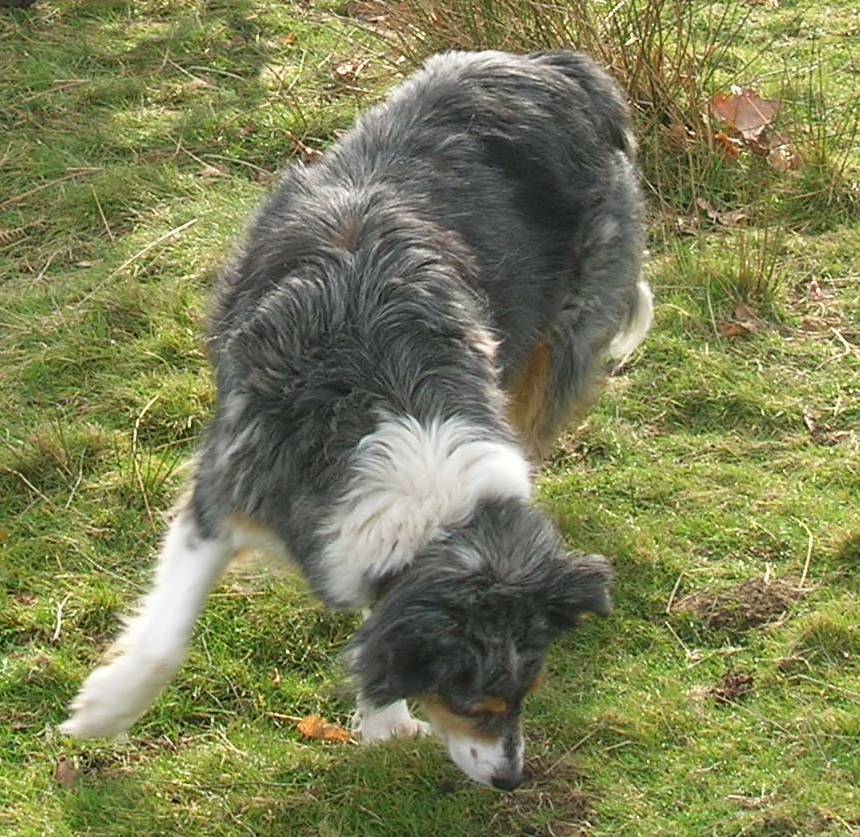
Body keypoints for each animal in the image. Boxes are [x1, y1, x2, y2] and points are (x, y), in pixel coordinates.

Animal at [62, 47, 652, 792]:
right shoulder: (225, 491)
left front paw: (383, 719)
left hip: (559, 340)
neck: (391, 411)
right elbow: (166, 638)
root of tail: (561, 67)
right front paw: (103, 710)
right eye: (472, 701)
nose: (511, 779)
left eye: (526, 693)